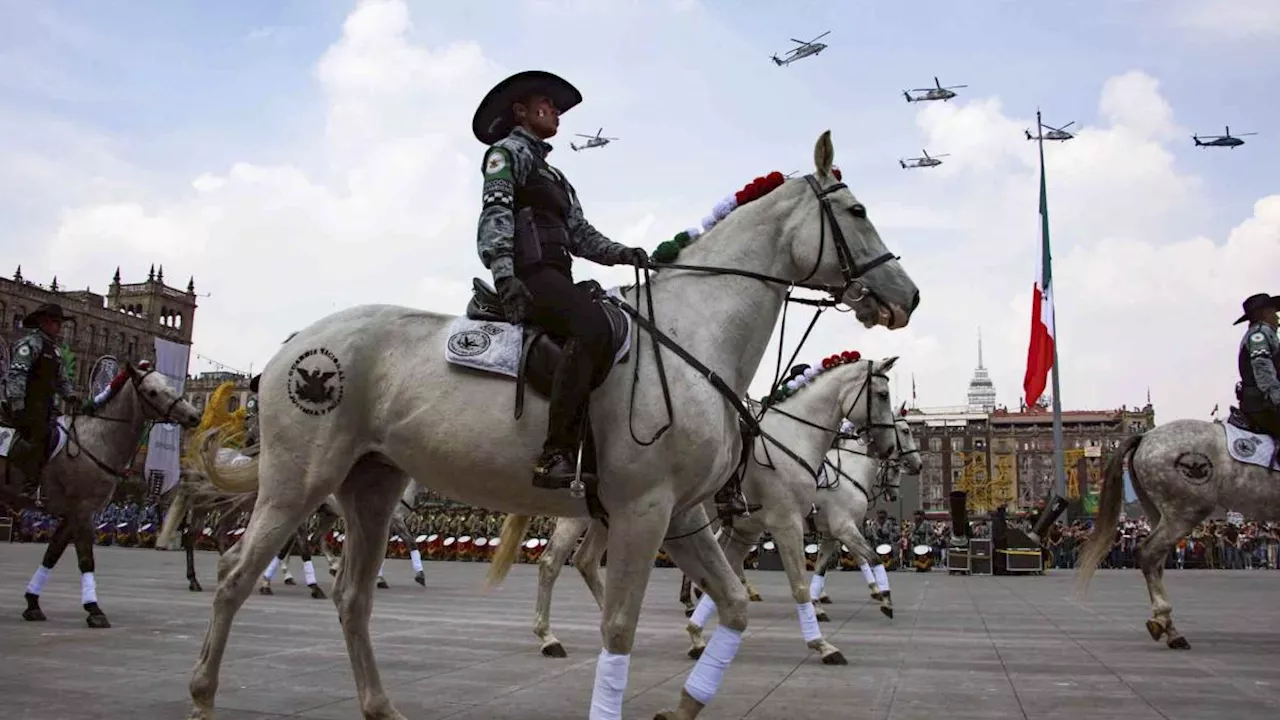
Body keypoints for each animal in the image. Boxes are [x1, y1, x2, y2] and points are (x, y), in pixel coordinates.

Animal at [1, 361, 199, 625]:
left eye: (170, 384)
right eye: (152, 392)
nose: (194, 415)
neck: (97, 438)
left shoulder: (72, 514)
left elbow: (52, 555)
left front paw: (33, 603)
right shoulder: (83, 510)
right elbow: (86, 559)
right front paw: (94, 609)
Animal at [527, 353, 901, 661]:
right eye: (883, 395)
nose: (889, 448)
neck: (793, 437)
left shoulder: (762, 529)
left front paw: (698, 631)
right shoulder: (792, 522)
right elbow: (820, 576)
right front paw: (831, 637)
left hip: (616, 517)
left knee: (586, 561)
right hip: (587, 517)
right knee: (551, 562)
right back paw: (548, 637)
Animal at [808, 412, 921, 620]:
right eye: (905, 431)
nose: (919, 464)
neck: (849, 472)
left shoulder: (834, 532)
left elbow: (828, 564)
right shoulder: (845, 528)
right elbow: (870, 557)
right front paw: (882, 596)